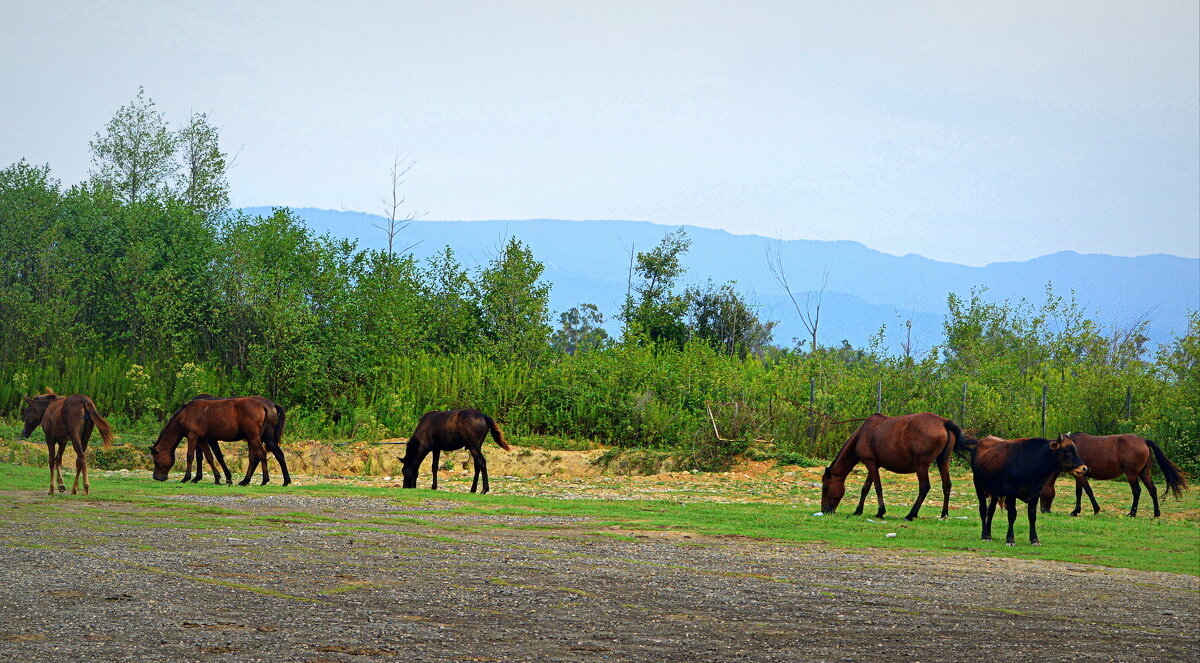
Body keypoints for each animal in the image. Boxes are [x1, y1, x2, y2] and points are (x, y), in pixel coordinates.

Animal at [151, 393, 289, 487]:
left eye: (156, 459)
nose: (156, 477)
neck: (185, 414)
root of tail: (266, 405)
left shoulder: (193, 436)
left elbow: (191, 456)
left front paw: (186, 477)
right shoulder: (203, 438)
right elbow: (209, 457)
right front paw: (217, 478)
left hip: (254, 437)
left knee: (261, 454)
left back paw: (264, 480)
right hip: (259, 438)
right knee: (267, 456)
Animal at [820, 410, 969, 521]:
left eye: (826, 487)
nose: (824, 511)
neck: (863, 433)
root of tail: (943, 422)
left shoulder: (870, 464)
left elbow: (877, 487)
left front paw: (880, 512)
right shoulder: (873, 465)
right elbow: (865, 488)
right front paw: (858, 511)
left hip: (922, 466)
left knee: (924, 487)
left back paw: (910, 515)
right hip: (943, 461)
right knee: (946, 485)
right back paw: (944, 514)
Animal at [1036, 432, 1185, 521]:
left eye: (1042, 492)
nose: (1044, 510)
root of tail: (1144, 440)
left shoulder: (1080, 475)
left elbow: (1088, 491)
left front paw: (1096, 510)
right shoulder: (1078, 474)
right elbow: (1079, 492)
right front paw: (1076, 511)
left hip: (1131, 474)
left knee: (1137, 491)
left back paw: (1132, 513)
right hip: (1144, 473)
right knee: (1152, 490)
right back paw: (1156, 514)